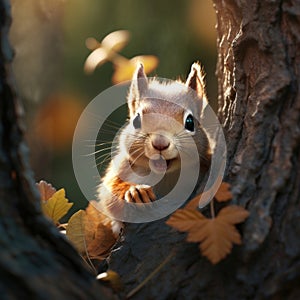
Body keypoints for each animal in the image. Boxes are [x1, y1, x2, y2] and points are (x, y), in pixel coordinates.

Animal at [96, 62, 211, 221]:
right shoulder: (121, 167)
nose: (160, 143)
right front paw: (136, 192)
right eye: (136, 120)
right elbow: (109, 195)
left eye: (190, 122)